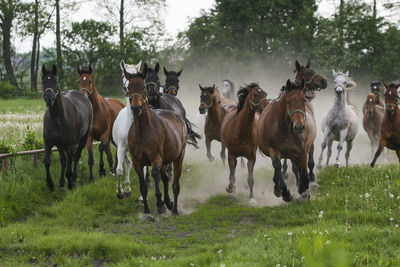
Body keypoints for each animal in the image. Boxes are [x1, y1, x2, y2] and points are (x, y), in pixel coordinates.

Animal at [41, 64, 94, 192]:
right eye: (43, 82)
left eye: (56, 82)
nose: (49, 98)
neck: (57, 118)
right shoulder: (49, 142)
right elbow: (48, 161)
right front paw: (50, 184)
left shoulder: (70, 145)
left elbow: (69, 165)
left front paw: (70, 184)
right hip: (61, 145)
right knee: (65, 161)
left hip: (83, 139)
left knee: (75, 157)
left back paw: (73, 179)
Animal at [123, 66, 188, 216]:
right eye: (129, 87)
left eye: (142, 86)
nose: (136, 108)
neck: (143, 131)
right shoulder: (137, 162)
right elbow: (143, 184)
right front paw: (147, 209)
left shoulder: (156, 158)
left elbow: (155, 174)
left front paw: (160, 204)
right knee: (165, 178)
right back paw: (169, 203)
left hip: (178, 158)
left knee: (175, 184)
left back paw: (174, 209)